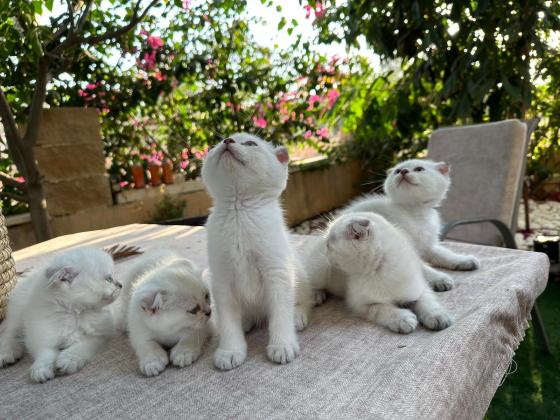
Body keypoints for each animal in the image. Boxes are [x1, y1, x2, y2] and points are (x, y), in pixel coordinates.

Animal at [0, 247, 121, 383]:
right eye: (109, 279)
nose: (120, 285)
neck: (74, 313)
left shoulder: (98, 335)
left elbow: (81, 346)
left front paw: (68, 359)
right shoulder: (41, 334)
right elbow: (46, 352)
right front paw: (41, 368)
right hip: (18, 314)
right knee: (9, 334)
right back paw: (7, 353)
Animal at [202, 133, 313, 370]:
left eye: (251, 144)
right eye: (215, 145)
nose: (227, 141)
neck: (239, 210)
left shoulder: (278, 271)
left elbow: (280, 313)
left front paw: (282, 345)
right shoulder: (221, 279)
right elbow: (228, 320)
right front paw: (230, 350)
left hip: (297, 272)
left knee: (305, 300)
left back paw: (298, 316)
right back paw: (246, 321)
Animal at [324, 212, 453, 333]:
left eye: (329, 246)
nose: (326, 255)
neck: (380, 271)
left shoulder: (419, 289)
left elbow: (426, 301)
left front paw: (437, 315)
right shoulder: (361, 305)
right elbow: (383, 308)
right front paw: (403, 319)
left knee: (423, 267)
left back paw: (442, 278)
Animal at [345, 159, 480, 291]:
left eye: (419, 169)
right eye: (397, 171)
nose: (403, 171)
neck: (415, 213)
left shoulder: (427, 245)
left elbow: (443, 254)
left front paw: (463, 260)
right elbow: (420, 268)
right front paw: (439, 279)